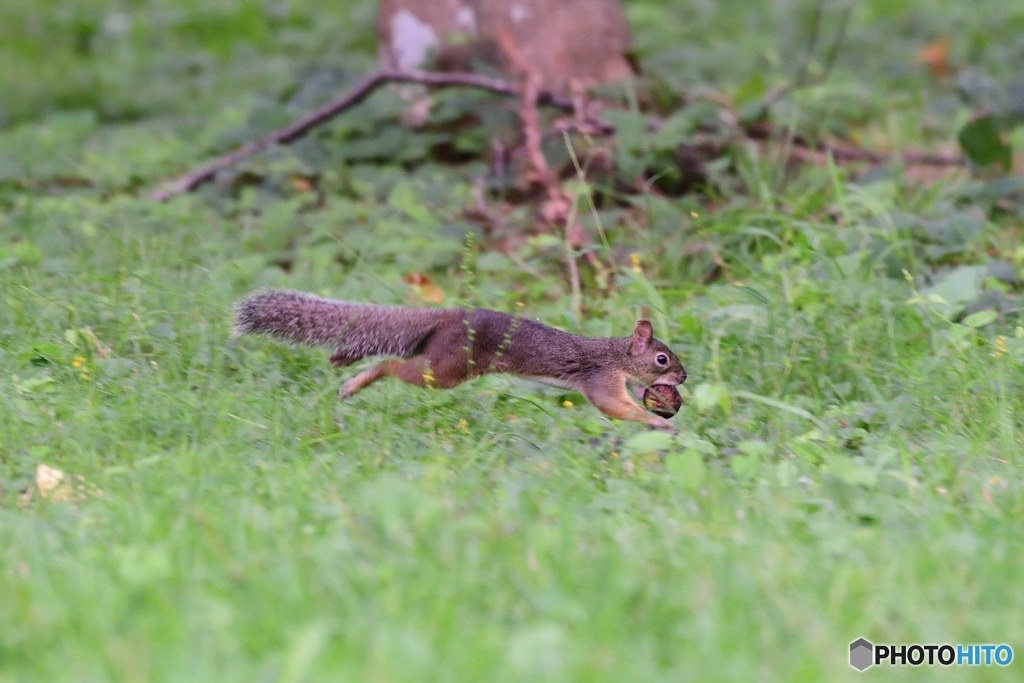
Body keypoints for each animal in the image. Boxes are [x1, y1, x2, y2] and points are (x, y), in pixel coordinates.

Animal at [234, 290, 688, 430]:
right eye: (663, 359)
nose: (684, 377)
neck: (615, 355)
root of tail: (446, 316)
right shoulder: (599, 380)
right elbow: (614, 407)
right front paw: (657, 424)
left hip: (441, 359)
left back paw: (346, 361)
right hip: (446, 369)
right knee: (394, 366)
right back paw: (355, 381)